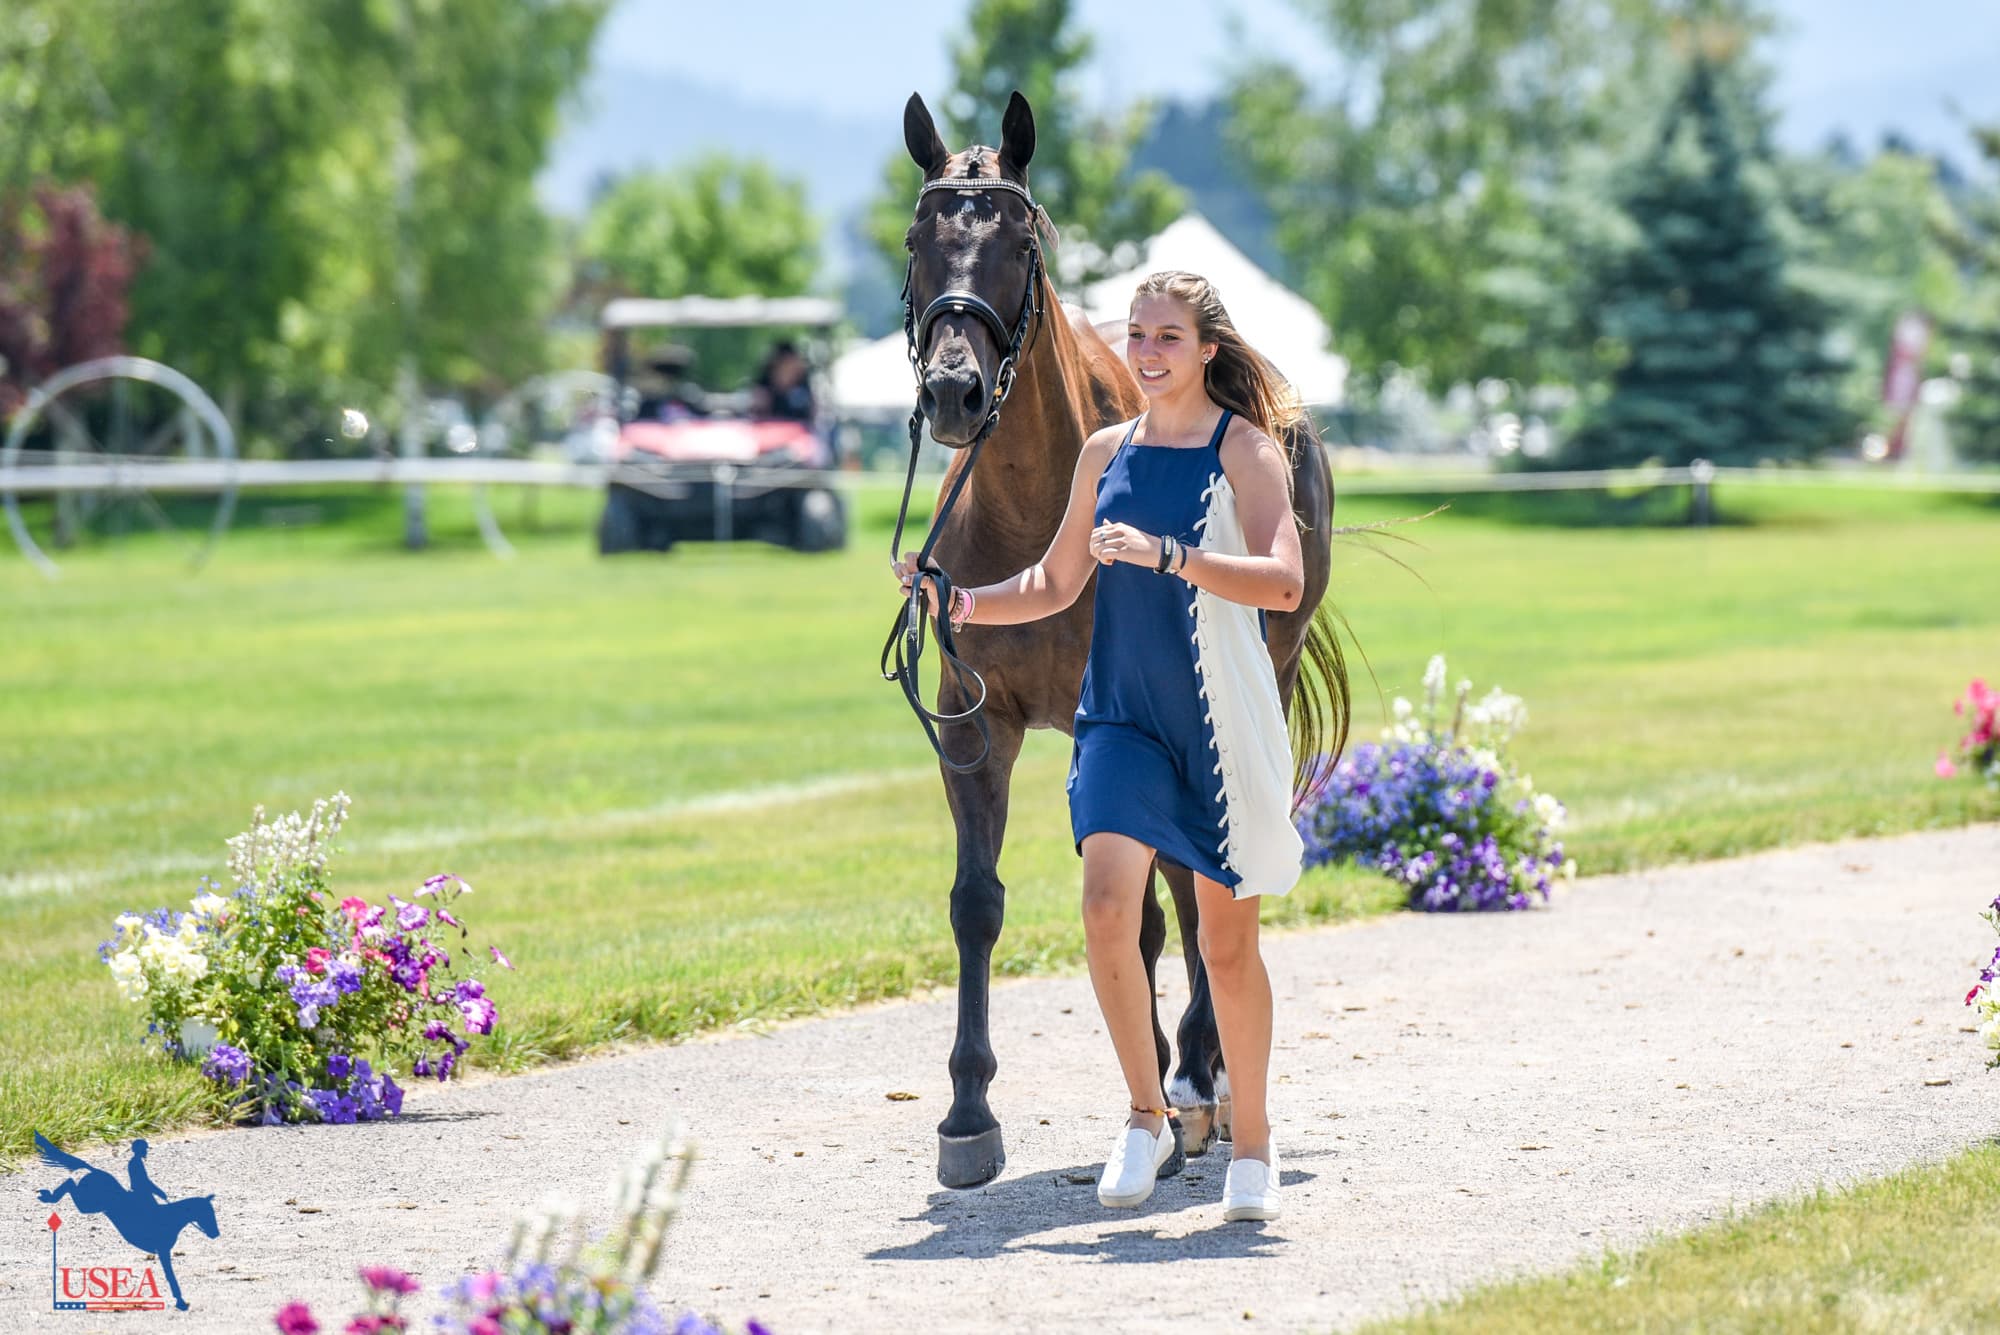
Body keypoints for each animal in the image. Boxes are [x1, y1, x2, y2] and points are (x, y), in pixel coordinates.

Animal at [35, 1133, 218, 1311]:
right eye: (207, 1213)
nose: (216, 1234)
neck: (171, 1218)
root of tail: (94, 1170)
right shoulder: (163, 1250)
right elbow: (170, 1274)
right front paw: (180, 1301)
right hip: (89, 1205)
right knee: (70, 1183)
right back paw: (48, 1196)